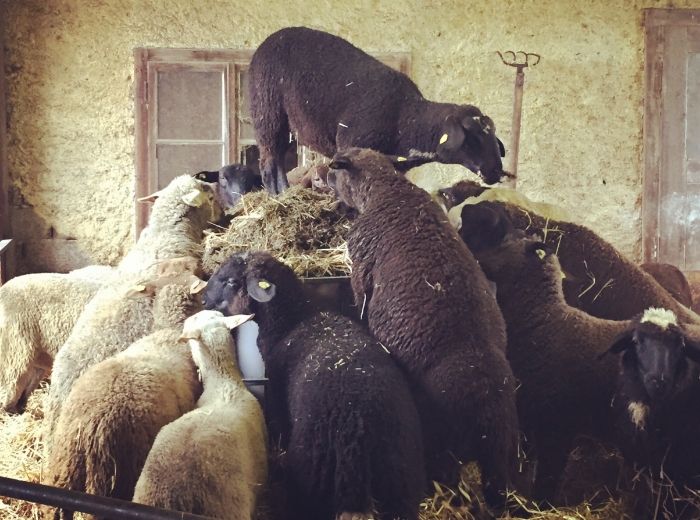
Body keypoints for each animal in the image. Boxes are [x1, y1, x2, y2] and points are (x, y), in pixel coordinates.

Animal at [202, 252, 426, 520]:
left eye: (232, 282)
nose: (203, 299)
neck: (295, 319)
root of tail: (356, 447)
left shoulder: (275, 394)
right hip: (400, 491)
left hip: (310, 482)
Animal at [249, 26, 506, 194]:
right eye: (471, 137)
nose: (496, 171)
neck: (406, 119)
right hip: (268, 112)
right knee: (269, 163)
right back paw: (280, 196)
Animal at [326, 148, 516, 510]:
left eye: (338, 169)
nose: (323, 176)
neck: (385, 191)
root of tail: (487, 401)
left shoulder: (360, 270)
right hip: (498, 456)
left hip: (446, 442)